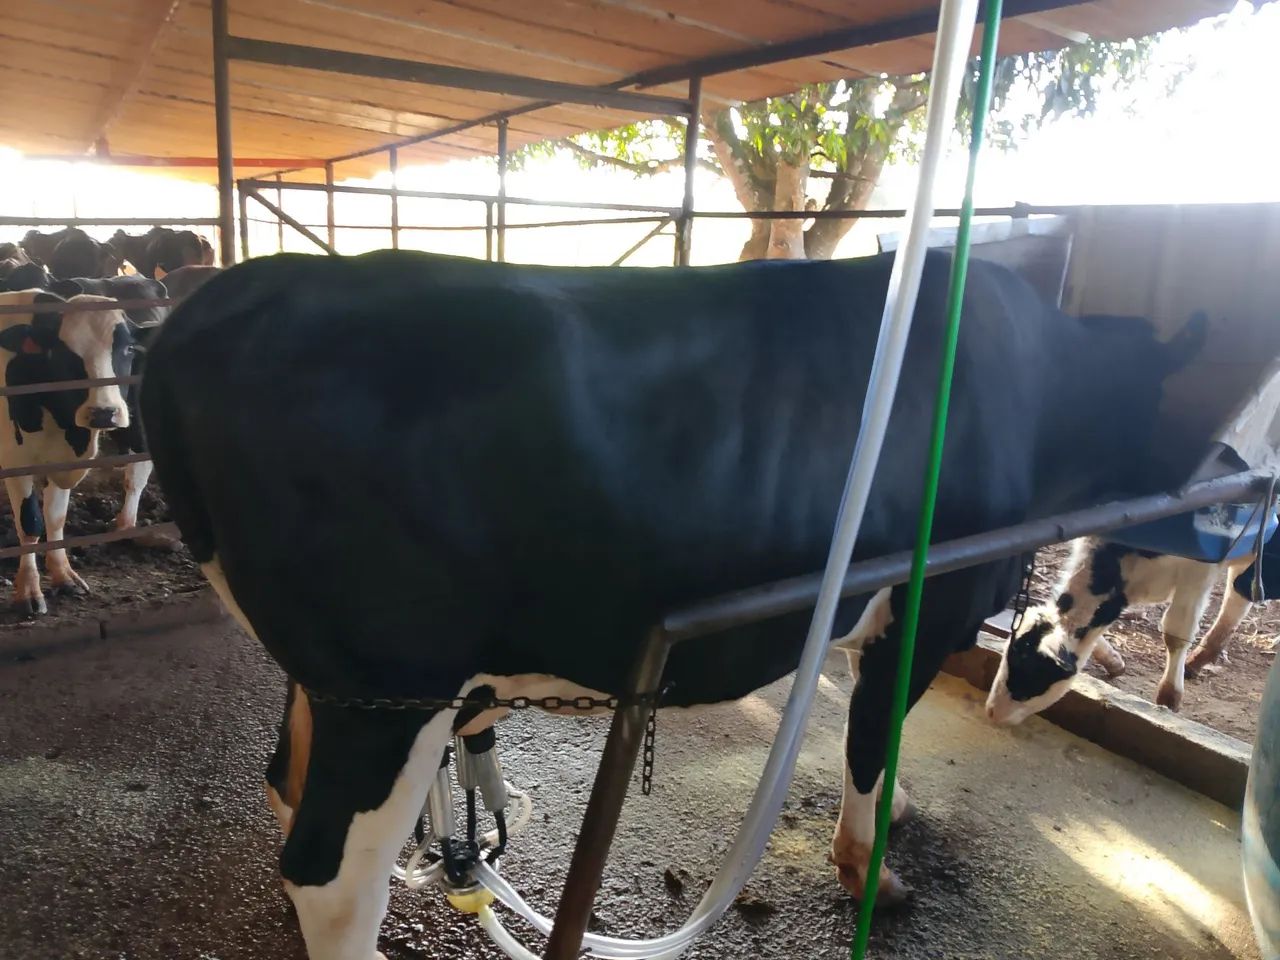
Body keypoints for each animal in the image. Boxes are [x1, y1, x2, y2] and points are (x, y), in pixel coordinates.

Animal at [0, 289, 138, 615]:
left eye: (128, 348)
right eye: (64, 354)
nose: (103, 412)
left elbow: (55, 517)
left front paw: (64, 576)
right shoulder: (15, 461)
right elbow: (30, 523)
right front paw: (28, 591)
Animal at [140, 249, 1204, 958]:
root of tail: (220, 300)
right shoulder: (929, 601)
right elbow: (871, 736)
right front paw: (874, 869)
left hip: (329, 682)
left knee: (284, 786)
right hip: (388, 685)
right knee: (333, 878)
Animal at [987, 532, 1278, 724]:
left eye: (1033, 670)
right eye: (1008, 656)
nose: (992, 712)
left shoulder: (1199, 569)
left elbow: (1176, 632)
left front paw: (1168, 699)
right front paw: (1114, 662)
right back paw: (1199, 659)